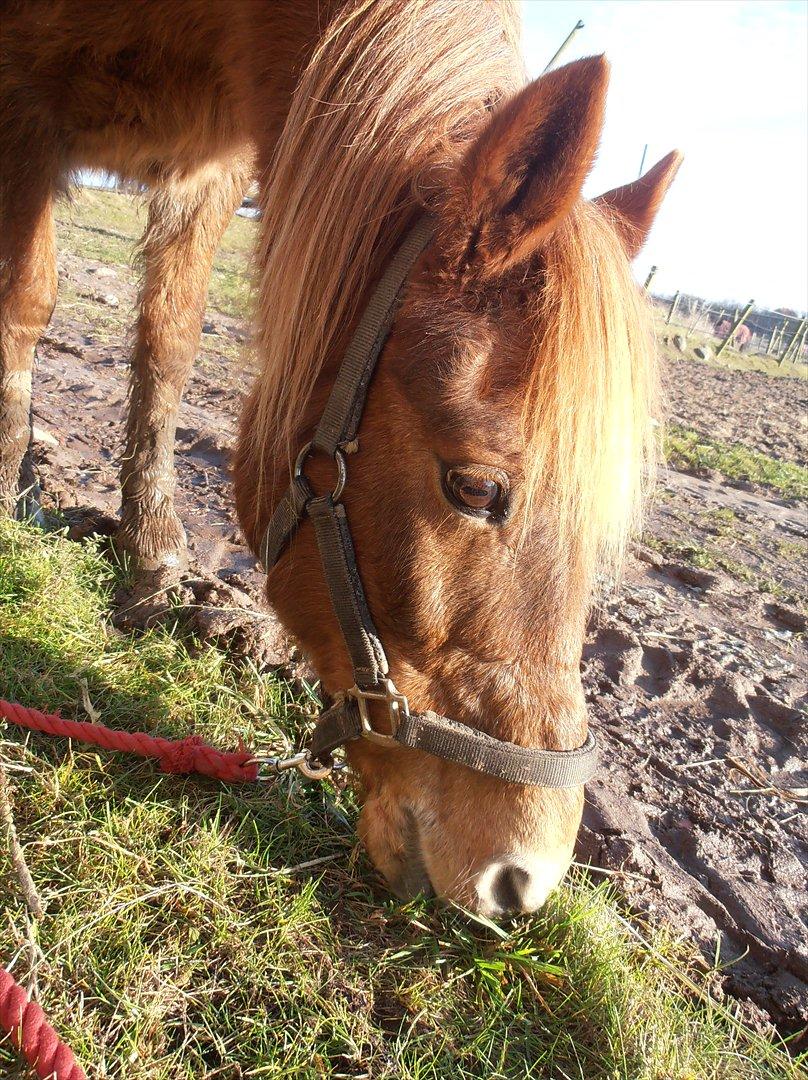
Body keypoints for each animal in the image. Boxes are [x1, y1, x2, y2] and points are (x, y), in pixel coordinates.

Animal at [0, 0, 682, 915]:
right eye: (475, 487)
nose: (521, 879)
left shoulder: (213, 170)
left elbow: (170, 339)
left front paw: (151, 554)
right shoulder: (19, 107)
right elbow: (25, 304)